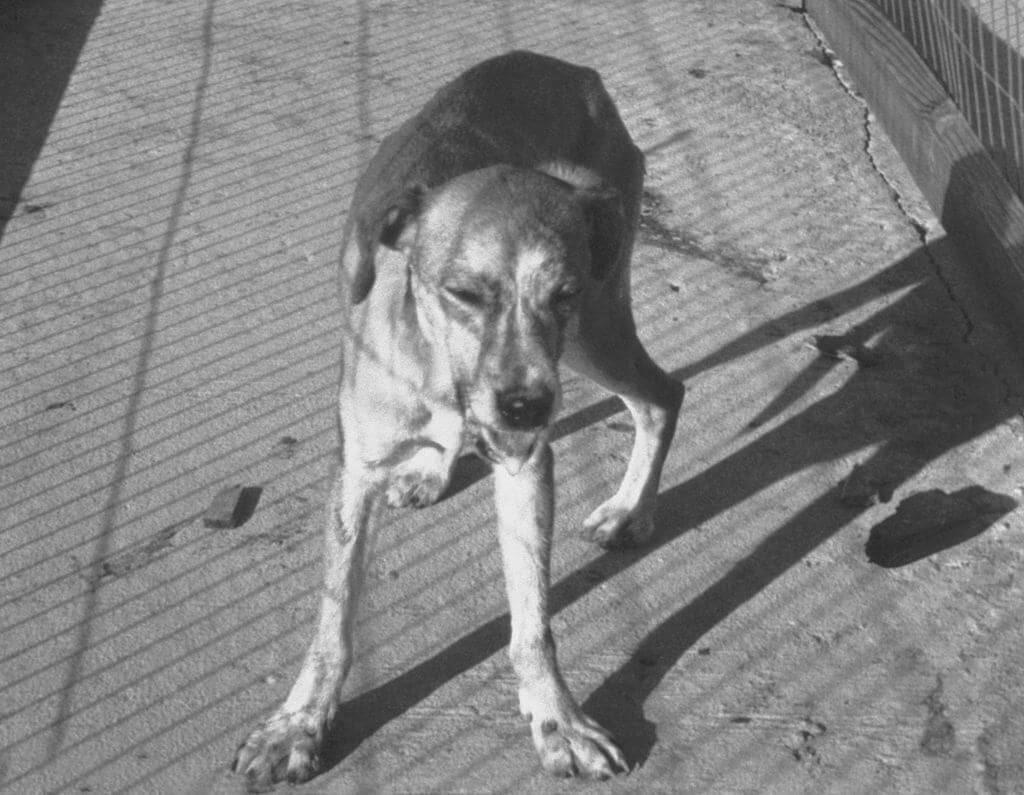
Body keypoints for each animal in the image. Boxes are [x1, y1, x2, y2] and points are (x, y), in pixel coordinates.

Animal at [234, 51, 684, 786]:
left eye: (561, 292)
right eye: (465, 293)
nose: (528, 405)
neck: (444, 373)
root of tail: (577, 72)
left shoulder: (527, 463)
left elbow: (533, 619)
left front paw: (558, 717)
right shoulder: (354, 472)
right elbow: (334, 620)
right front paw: (299, 722)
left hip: (596, 326)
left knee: (662, 394)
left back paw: (629, 509)